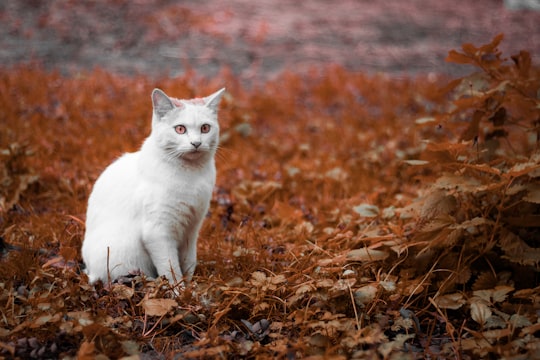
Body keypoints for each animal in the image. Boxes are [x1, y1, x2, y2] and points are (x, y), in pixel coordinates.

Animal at [81, 88, 225, 286]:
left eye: (205, 128)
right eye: (180, 129)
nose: (196, 143)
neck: (191, 175)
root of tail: (89, 272)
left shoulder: (192, 229)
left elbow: (189, 262)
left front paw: (191, 287)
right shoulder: (157, 232)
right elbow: (171, 269)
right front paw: (178, 290)